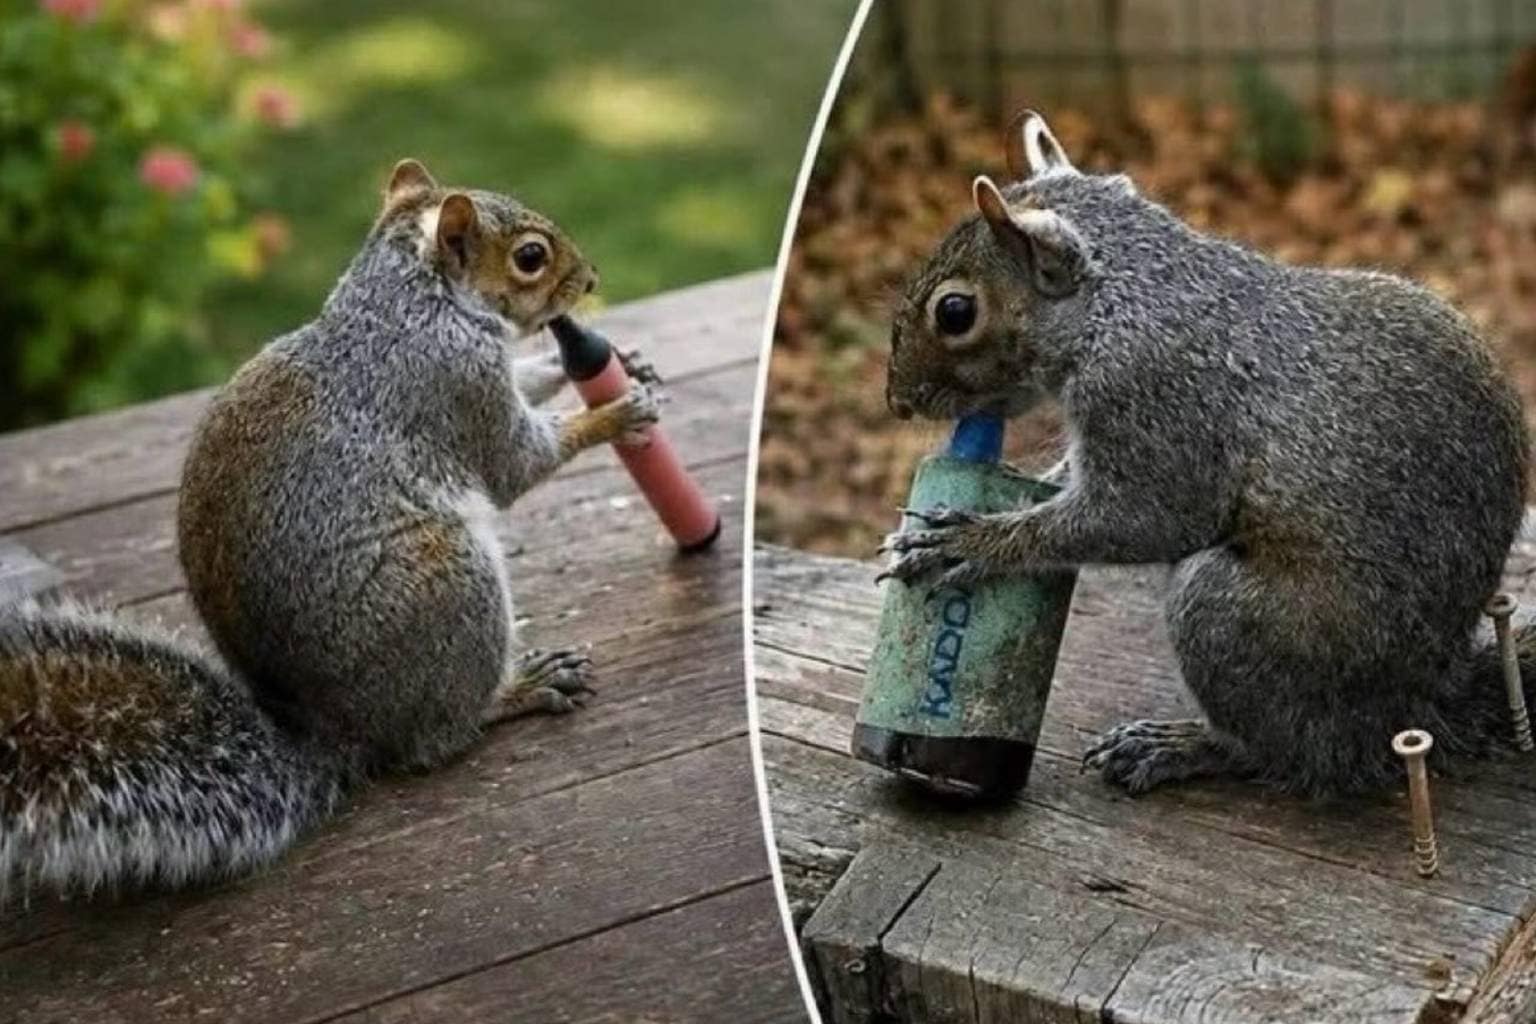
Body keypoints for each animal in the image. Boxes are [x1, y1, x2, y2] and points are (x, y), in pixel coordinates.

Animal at [0, 159, 660, 899]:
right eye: (530, 257)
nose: (592, 280)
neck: (408, 301)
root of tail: (340, 734)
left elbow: (533, 380)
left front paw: (615, 362)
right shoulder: (457, 388)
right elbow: (519, 462)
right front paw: (616, 414)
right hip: (445, 581)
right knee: (433, 742)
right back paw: (515, 689)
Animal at [880, 112, 1532, 797]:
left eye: (956, 312)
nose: (898, 401)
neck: (1124, 301)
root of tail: (1420, 702)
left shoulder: (1158, 403)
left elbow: (1149, 518)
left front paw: (972, 543)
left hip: (1235, 618)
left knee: (1296, 753)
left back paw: (1184, 745)